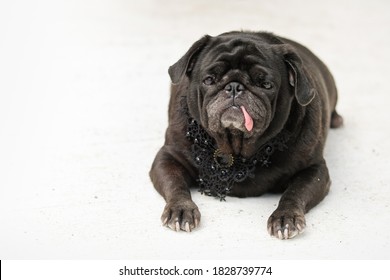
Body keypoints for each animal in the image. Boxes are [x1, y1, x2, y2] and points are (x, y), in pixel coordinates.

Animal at [149, 31, 342, 240]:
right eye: (209, 80)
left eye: (266, 84)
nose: (234, 86)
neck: (234, 147)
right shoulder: (168, 157)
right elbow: (175, 184)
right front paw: (180, 209)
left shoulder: (314, 169)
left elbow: (295, 192)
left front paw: (286, 217)